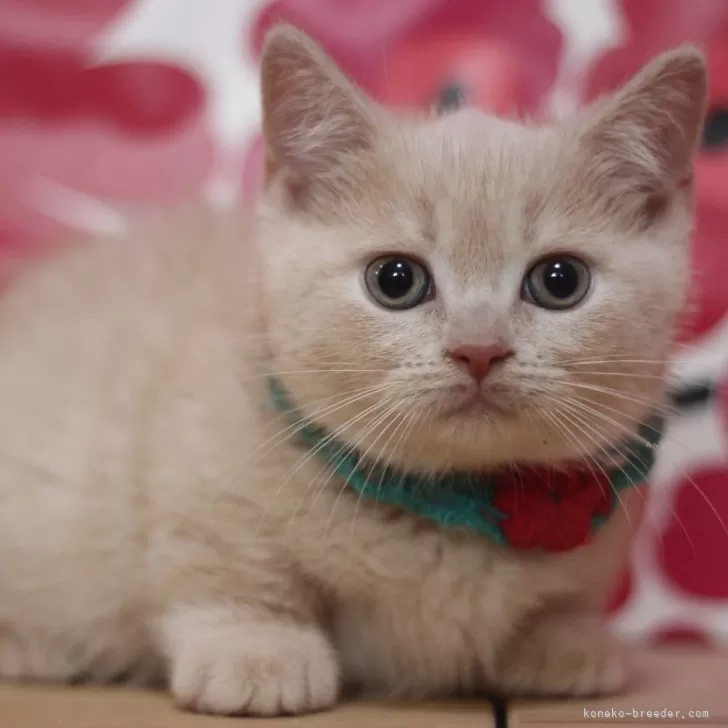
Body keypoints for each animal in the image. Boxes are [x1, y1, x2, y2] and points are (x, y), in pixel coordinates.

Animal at [0, 24, 708, 716]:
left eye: (560, 281)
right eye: (395, 280)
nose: (478, 349)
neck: (449, 504)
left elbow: (563, 601)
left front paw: (562, 642)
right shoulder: (195, 470)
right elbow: (227, 571)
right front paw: (259, 652)